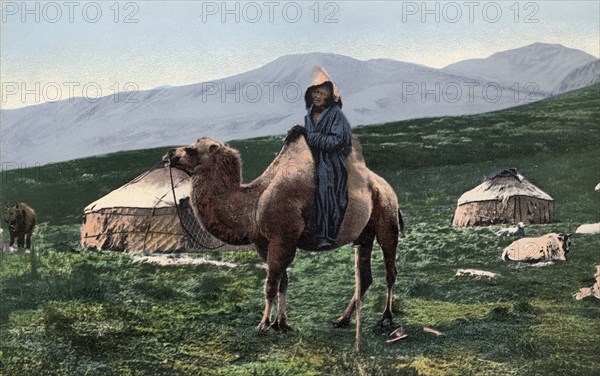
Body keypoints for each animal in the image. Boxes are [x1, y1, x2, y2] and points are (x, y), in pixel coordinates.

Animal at [166, 132, 406, 332]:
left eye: (192, 149)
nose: (170, 153)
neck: (253, 203)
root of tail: (385, 186)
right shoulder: (264, 242)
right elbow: (283, 281)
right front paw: (281, 323)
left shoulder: (283, 238)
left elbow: (271, 284)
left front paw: (263, 324)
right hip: (364, 234)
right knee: (364, 276)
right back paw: (342, 319)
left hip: (387, 219)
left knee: (391, 270)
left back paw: (386, 318)